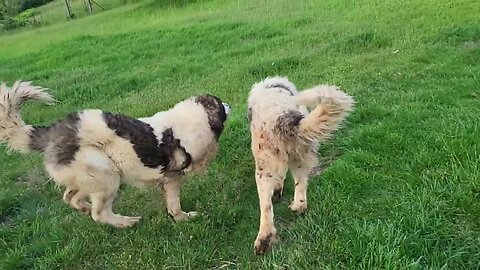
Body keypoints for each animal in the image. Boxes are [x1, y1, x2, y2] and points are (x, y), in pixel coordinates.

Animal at [0, 80, 231, 228]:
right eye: (220, 104)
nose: (230, 104)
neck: (193, 119)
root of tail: (52, 132)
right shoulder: (173, 178)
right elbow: (175, 204)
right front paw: (184, 218)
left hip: (88, 178)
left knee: (71, 197)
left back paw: (85, 208)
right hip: (107, 175)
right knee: (99, 214)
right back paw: (127, 222)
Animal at [248, 76, 352, 253]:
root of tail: (284, 119)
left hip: (263, 169)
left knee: (266, 207)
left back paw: (263, 239)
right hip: (300, 159)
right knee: (301, 185)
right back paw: (298, 207)